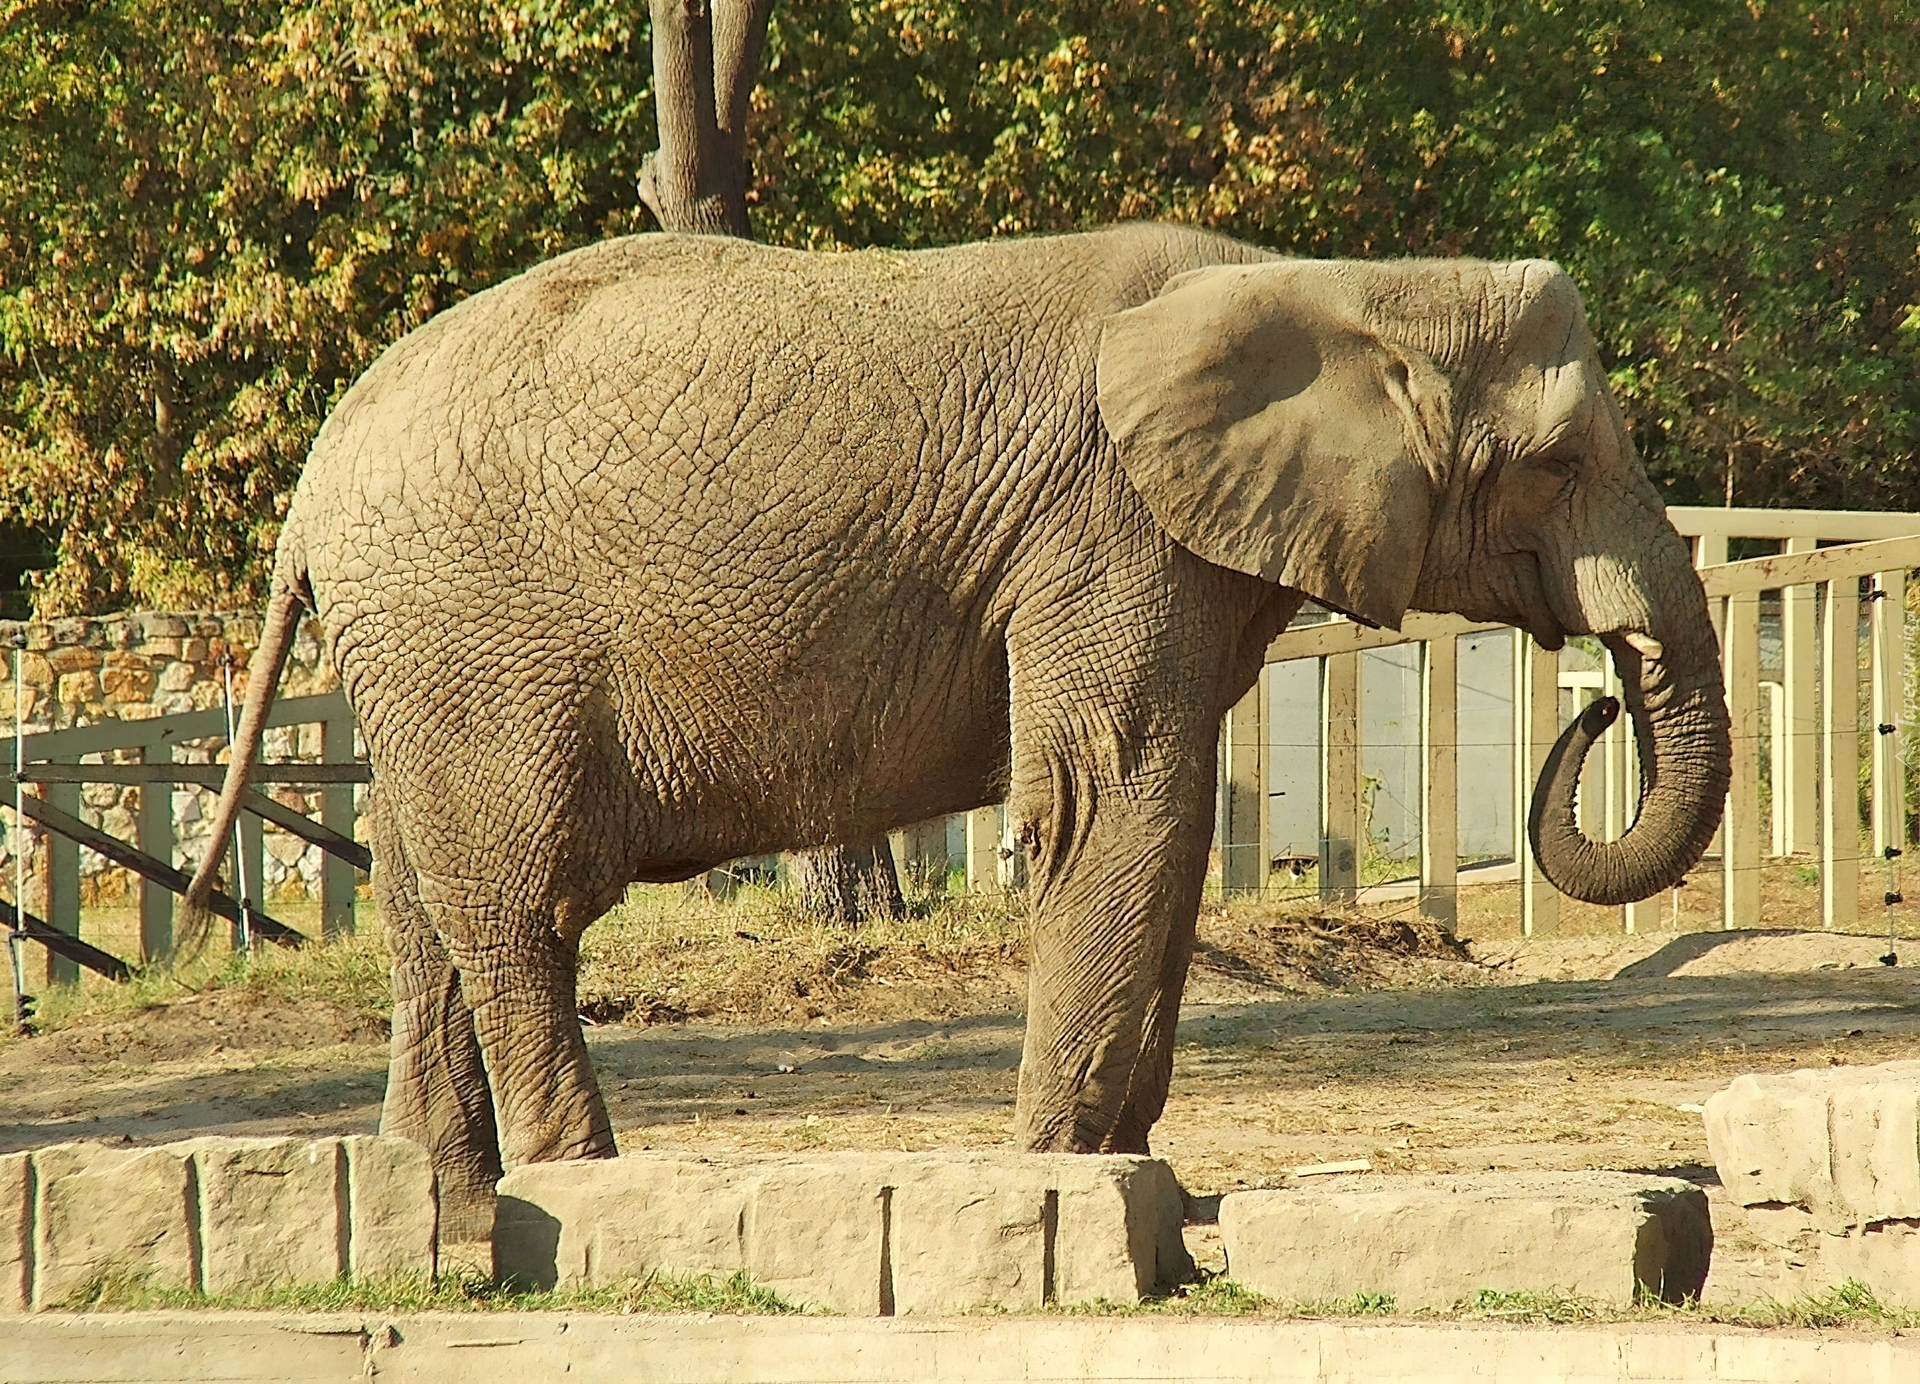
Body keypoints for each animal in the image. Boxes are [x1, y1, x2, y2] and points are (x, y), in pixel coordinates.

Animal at [189, 223, 1731, 1240]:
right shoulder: (1107, 529)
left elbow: (1165, 823)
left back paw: (431, 1223)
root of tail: (312, 485)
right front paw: (1062, 1179)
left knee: (426, 915)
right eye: (1560, 463)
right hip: (475, 633)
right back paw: (579, 1191)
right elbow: (1114, 802)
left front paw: (1139, 1181)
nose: (1599, 692)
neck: (1337, 279)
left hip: (423, 658)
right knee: (523, 907)